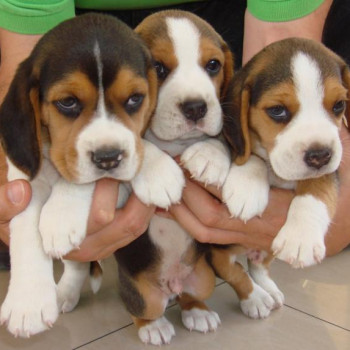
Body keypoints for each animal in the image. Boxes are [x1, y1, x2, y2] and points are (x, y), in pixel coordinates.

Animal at [0, 13, 186, 340]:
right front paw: (28, 302)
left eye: (135, 99)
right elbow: (25, 230)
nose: (108, 157)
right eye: (67, 102)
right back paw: (63, 293)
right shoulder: (24, 183)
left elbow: (104, 168)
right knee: (75, 265)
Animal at [115, 9, 284, 346]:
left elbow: (221, 139)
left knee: (192, 295)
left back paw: (198, 311)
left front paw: (209, 157)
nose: (196, 107)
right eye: (158, 67)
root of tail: (172, 285)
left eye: (213, 65)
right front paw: (159, 175)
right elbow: (139, 143)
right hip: (141, 292)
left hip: (204, 276)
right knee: (142, 309)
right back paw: (153, 326)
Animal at [223, 38, 348, 268]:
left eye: (339, 105)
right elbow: (251, 152)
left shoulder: (331, 168)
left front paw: (301, 237)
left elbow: (317, 184)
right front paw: (246, 186)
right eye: (277, 110)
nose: (320, 156)